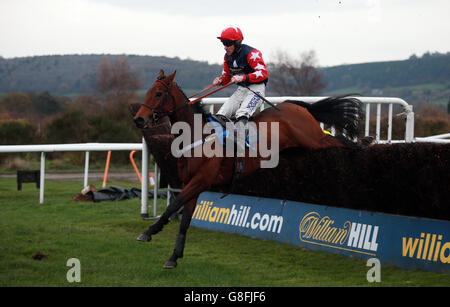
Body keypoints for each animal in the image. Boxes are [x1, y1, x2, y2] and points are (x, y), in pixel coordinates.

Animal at [132, 70, 364, 270]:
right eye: (148, 91)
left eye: (159, 93)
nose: (139, 119)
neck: (196, 136)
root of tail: (294, 106)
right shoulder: (191, 184)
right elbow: (185, 220)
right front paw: (174, 257)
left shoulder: (201, 180)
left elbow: (173, 206)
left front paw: (149, 232)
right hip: (299, 151)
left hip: (314, 140)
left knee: (338, 141)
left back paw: (363, 143)